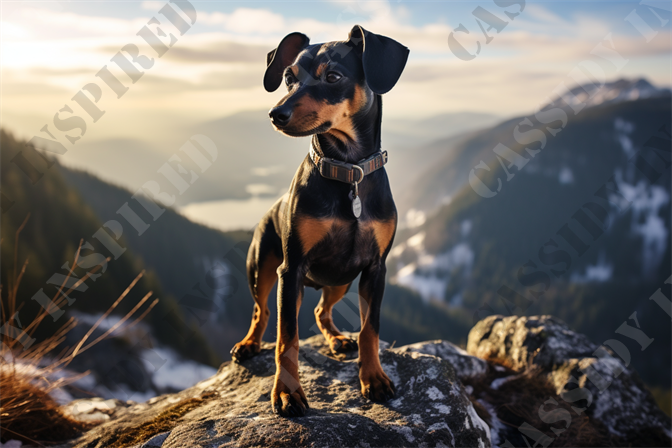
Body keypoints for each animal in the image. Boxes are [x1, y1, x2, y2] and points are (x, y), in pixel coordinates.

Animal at [231, 24, 410, 416]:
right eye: (288, 78)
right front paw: (287, 392)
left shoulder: (375, 268)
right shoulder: (292, 269)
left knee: (320, 310)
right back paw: (249, 344)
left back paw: (338, 339)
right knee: (261, 311)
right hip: (264, 265)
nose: (276, 113)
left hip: (340, 277)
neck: (348, 171)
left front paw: (373, 378)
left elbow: (370, 329)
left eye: (333, 76)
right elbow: (287, 338)